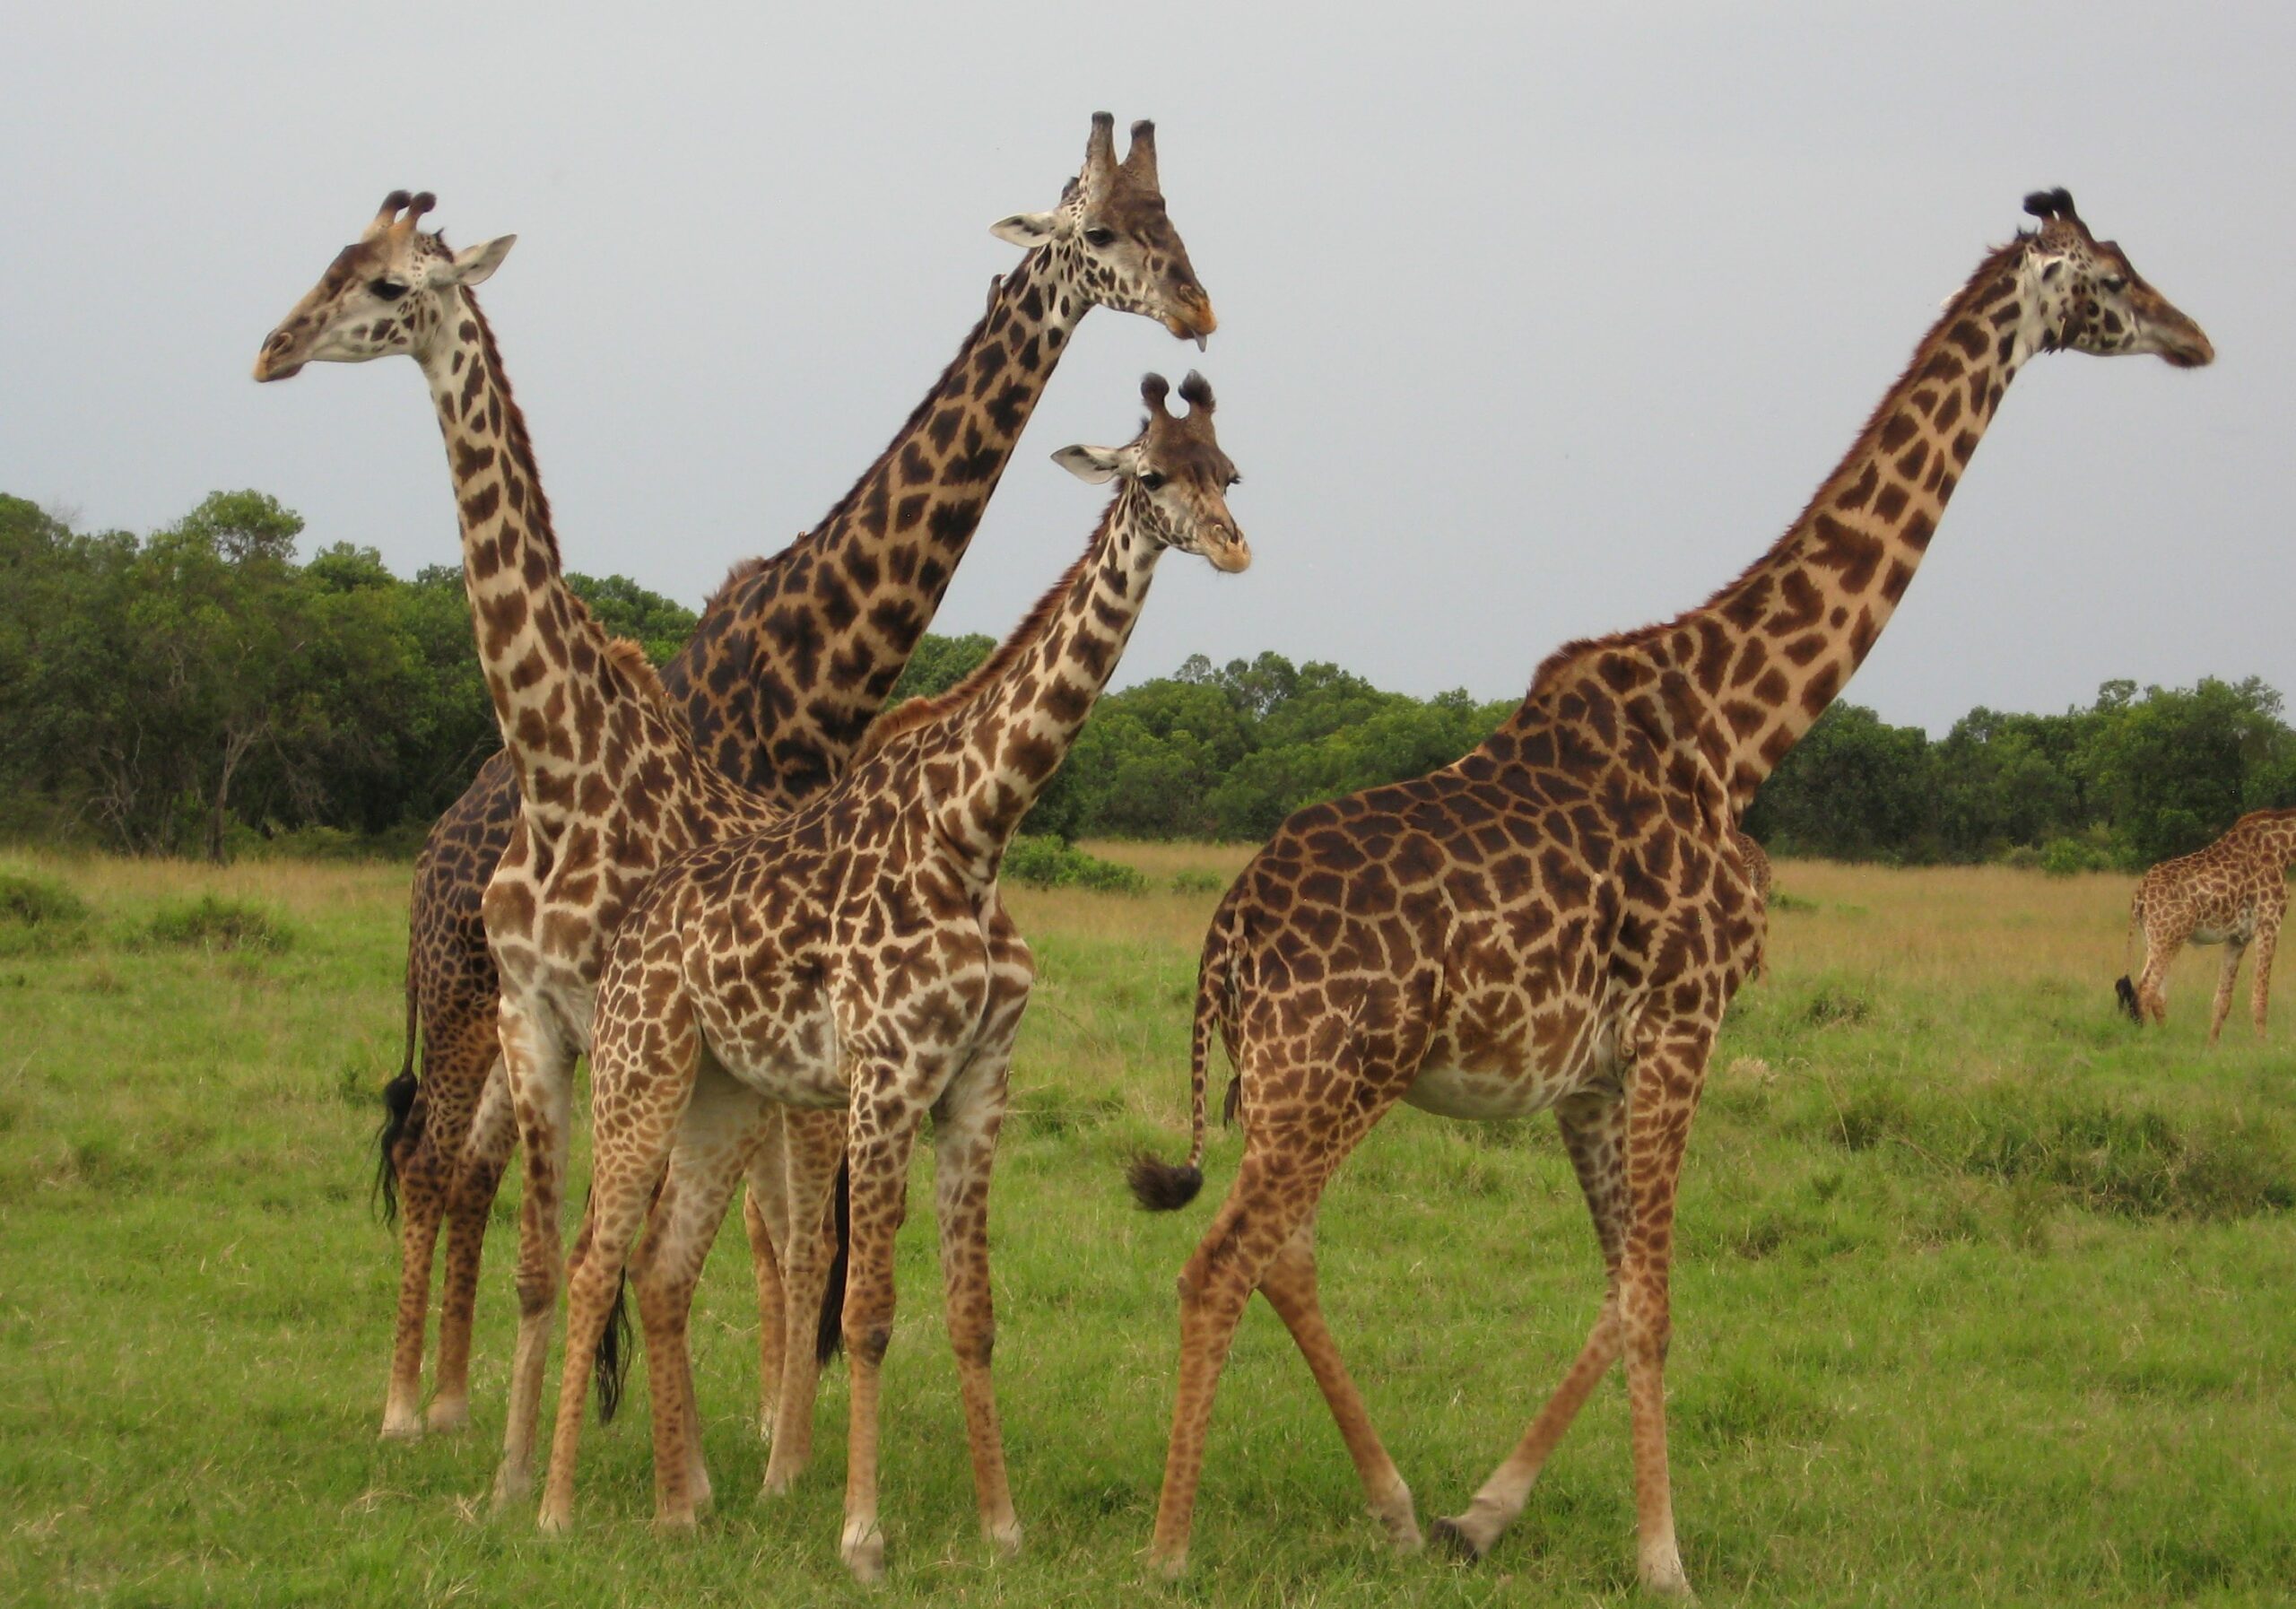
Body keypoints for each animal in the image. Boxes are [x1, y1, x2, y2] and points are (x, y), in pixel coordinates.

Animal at [357, 112, 1214, 1456]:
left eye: (1173, 220)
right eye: (1102, 230)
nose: (1197, 307)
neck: (809, 681)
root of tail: (436, 845)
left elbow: (769, 1220)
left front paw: (765, 1426)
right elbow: (734, 1218)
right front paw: (740, 1432)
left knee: (486, 1166)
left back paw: (454, 1394)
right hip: (457, 1000)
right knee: (436, 1159)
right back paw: (407, 1405)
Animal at [539, 375, 1246, 1579]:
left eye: (1230, 470)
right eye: (1152, 471)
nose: (1237, 546)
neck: (977, 828)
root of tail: (628, 935)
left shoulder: (978, 1085)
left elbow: (973, 1315)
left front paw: (1001, 1526)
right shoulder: (885, 1078)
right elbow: (866, 1311)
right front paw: (860, 1533)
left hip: (724, 1095)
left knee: (662, 1269)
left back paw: (681, 1510)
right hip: (639, 1069)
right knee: (594, 1260)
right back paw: (542, 1510)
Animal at [1125, 190, 2210, 1596]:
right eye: (2115, 279)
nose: (2195, 339)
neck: (1740, 729)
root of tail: (1224, 940)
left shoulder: (1596, 1069)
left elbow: (1620, 1284)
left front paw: (1487, 1513)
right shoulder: (1688, 1022)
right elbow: (1654, 1296)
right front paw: (1663, 1559)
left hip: (1288, 1080)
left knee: (1282, 1251)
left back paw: (1399, 1507)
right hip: (1331, 1072)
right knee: (1220, 1263)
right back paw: (1169, 1549)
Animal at [2116, 807, 2296, 1042]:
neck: (2284, 848)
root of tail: (2139, 896)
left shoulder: (2237, 937)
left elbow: (2222, 1001)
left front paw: (2212, 1047)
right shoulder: (2269, 924)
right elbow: (2260, 999)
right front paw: (2263, 1046)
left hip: (2153, 938)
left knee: (2157, 994)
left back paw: (2167, 1039)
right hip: (2169, 934)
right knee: (2145, 990)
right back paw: (2145, 1042)